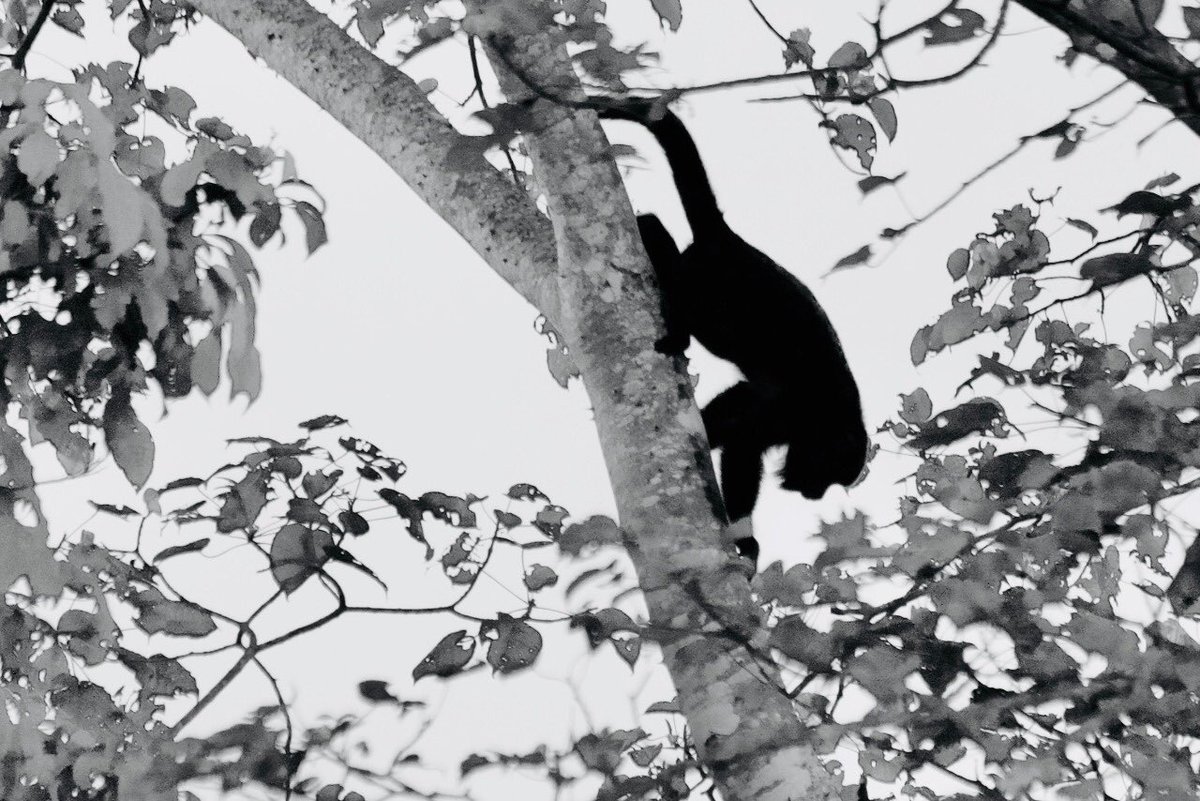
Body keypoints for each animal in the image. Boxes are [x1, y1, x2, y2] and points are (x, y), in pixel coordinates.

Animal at [603, 105, 868, 561]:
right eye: (829, 473)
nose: (816, 495)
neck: (830, 418)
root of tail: (728, 239)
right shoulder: (790, 409)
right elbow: (741, 445)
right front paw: (745, 538)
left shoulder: (773, 408)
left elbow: (731, 415)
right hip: (713, 290)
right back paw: (676, 326)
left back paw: (648, 230)